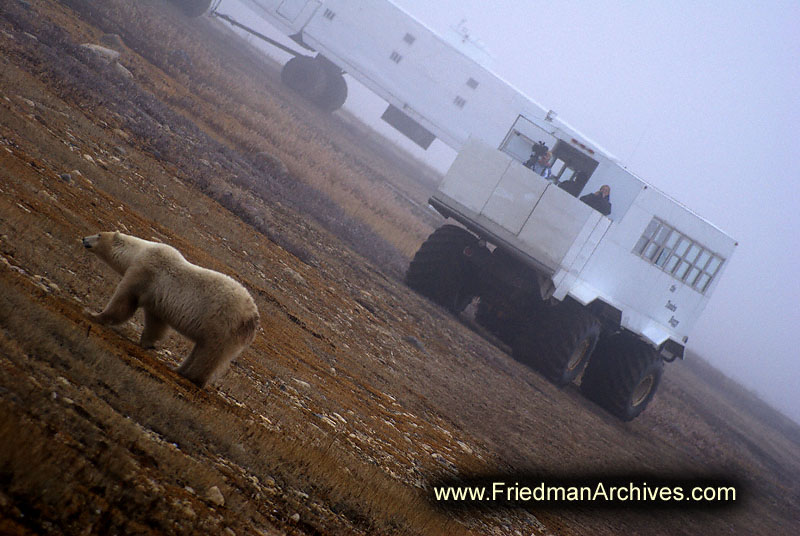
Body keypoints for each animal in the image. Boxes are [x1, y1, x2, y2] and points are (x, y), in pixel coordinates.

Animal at [81, 232, 258, 388]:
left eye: (99, 234)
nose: (84, 239)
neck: (139, 252)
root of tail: (253, 318)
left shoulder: (144, 273)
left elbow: (124, 301)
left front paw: (94, 314)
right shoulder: (156, 297)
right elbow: (156, 322)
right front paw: (146, 342)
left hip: (221, 322)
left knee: (210, 353)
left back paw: (192, 376)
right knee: (201, 348)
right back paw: (179, 369)